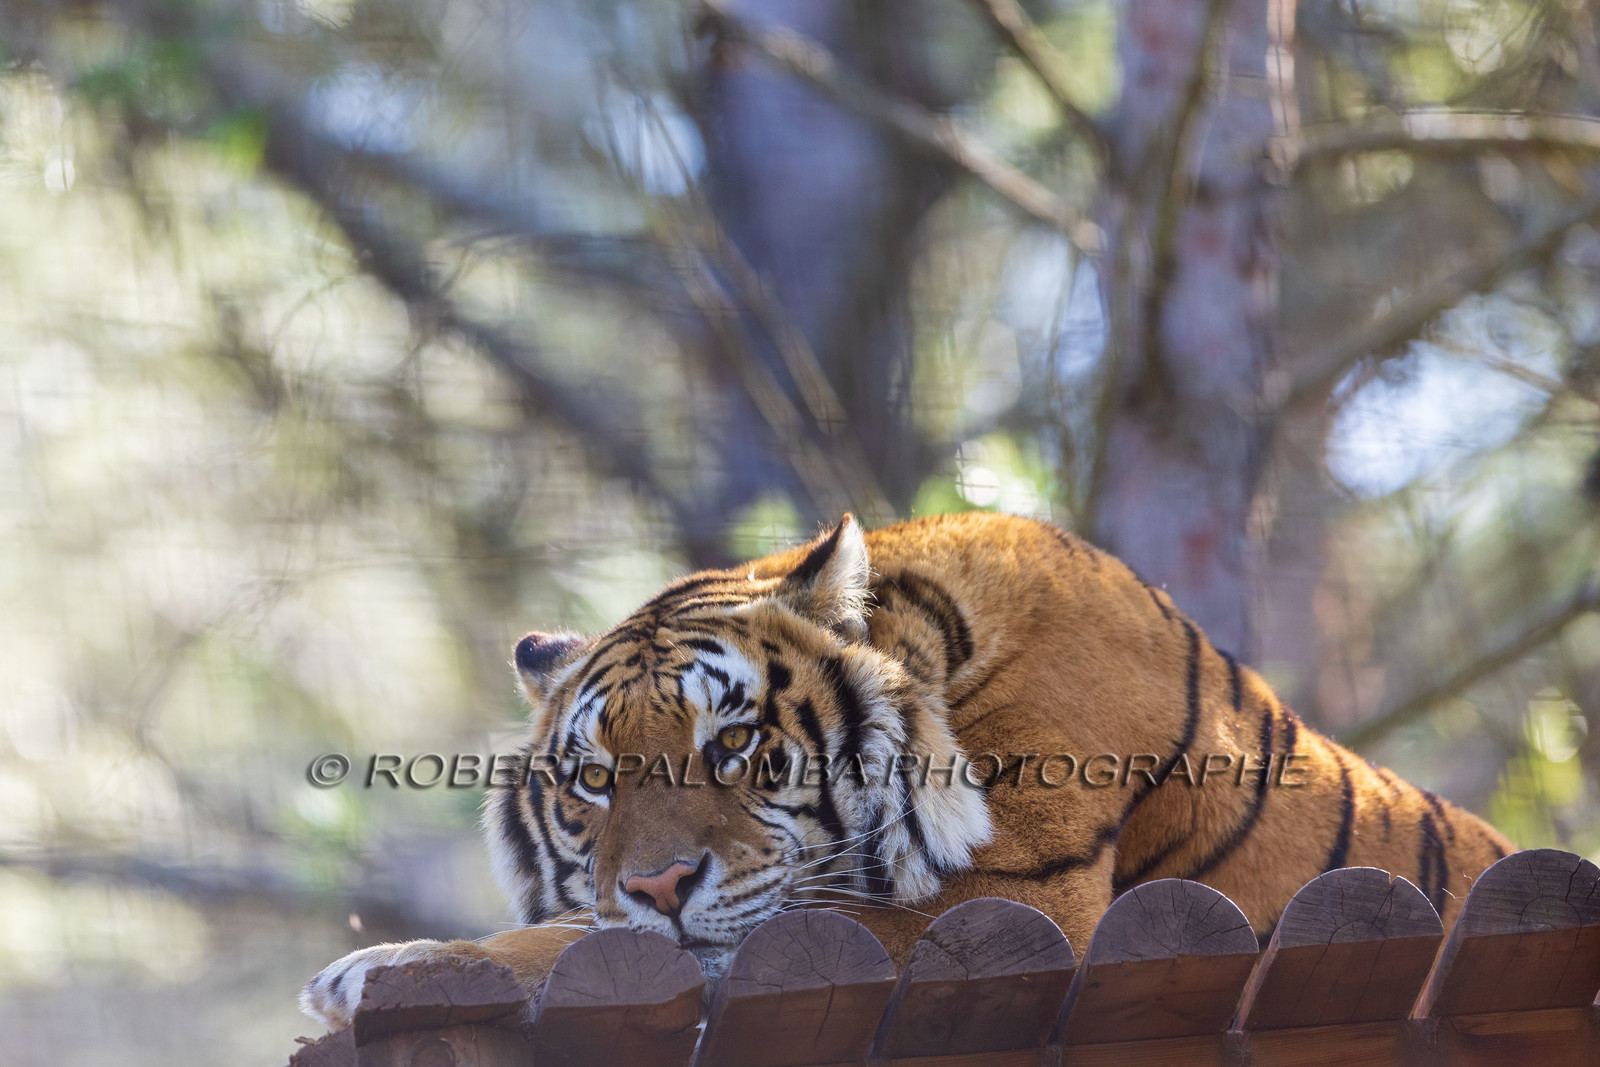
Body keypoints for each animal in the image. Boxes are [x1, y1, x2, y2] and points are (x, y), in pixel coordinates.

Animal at [300, 511, 1515, 1030]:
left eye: (731, 744)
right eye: (594, 781)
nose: (656, 884)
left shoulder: (1006, 901)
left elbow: (577, 940)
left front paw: (381, 965)